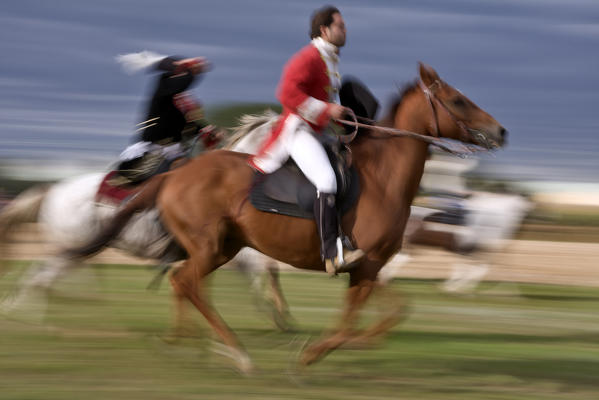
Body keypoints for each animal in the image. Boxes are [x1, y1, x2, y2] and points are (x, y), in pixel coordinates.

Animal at [72, 63, 508, 372]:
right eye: (458, 101)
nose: (501, 131)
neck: (383, 178)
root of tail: (175, 175)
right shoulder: (365, 265)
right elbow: (355, 321)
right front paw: (310, 354)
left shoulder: (368, 267)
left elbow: (390, 313)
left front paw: (339, 344)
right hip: (210, 248)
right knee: (186, 282)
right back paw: (235, 353)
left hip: (223, 249)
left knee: (185, 284)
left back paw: (189, 344)